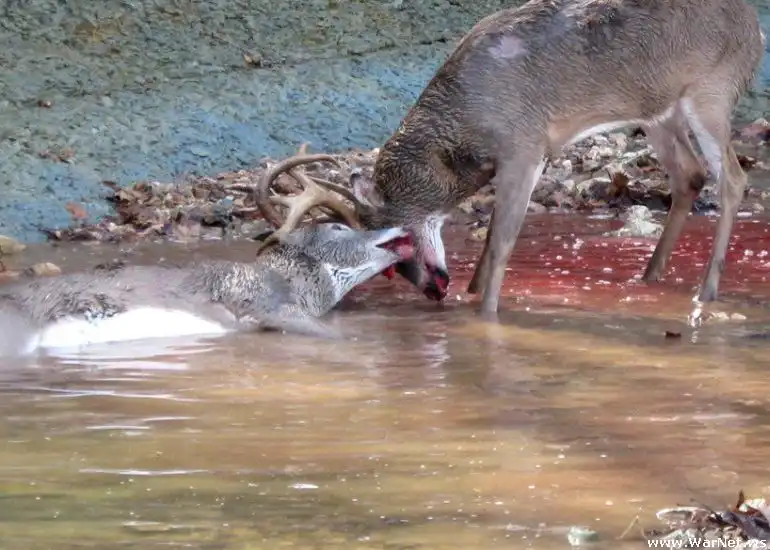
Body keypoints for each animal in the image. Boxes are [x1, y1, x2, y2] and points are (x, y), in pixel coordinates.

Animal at [328, 0, 765, 317]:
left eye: (396, 242)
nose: (433, 289)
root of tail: (755, 29)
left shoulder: (525, 145)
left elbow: (502, 241)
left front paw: (486, 314)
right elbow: (491, 234)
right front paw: (472, 292)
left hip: (712, 90)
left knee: (732, 179)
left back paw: (706, 291)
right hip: (659, 110)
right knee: (689, 175)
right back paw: (650, 276)